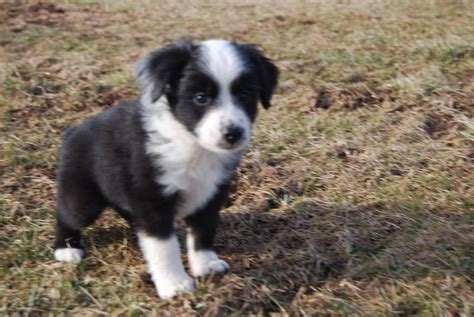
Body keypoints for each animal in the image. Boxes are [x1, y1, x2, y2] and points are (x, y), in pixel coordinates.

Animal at [54, 38, 280, 298]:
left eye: (244, 94)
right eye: (201, 98)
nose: (233, 134)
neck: (193, 145)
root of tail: (72, 132)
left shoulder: (211, 193)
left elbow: (203, 231)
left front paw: (206, 265)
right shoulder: (153, 198)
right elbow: (163, 246)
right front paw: (175, 284)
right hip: (83, 196)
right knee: (67, 215)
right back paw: (66, 248)